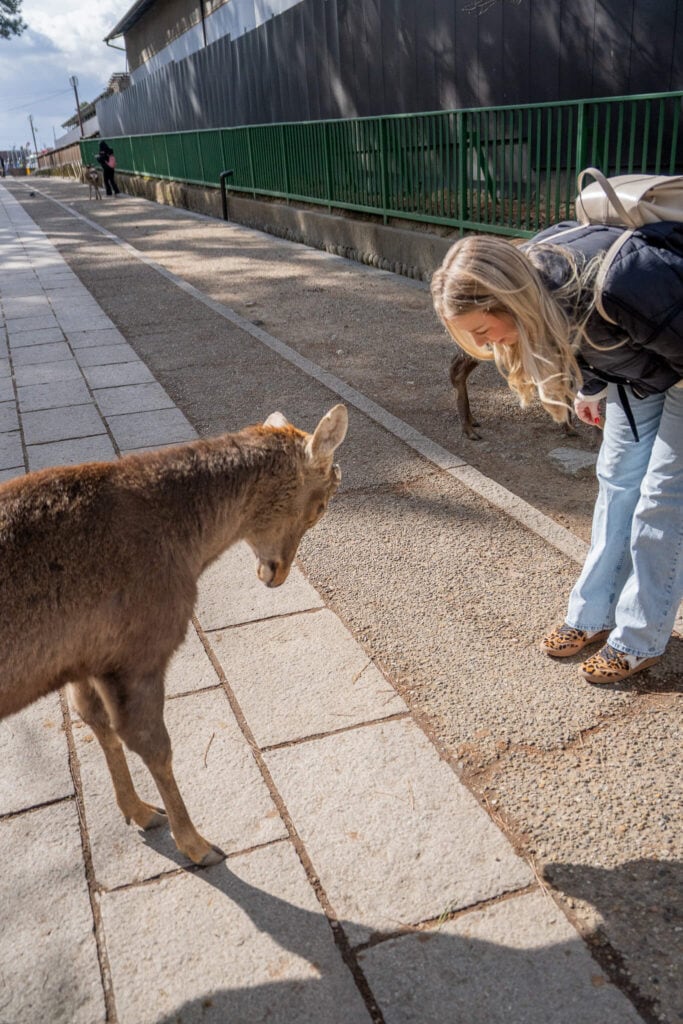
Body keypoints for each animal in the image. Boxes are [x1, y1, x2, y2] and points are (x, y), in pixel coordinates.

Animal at [1, 405, 348, 864]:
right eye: (320, 506)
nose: (276, 574)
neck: (188, 548)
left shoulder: (83, 657)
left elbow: (95, 721)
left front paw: (139, 811)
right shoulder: (140, 649)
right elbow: (154, 746)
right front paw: (197, 845)